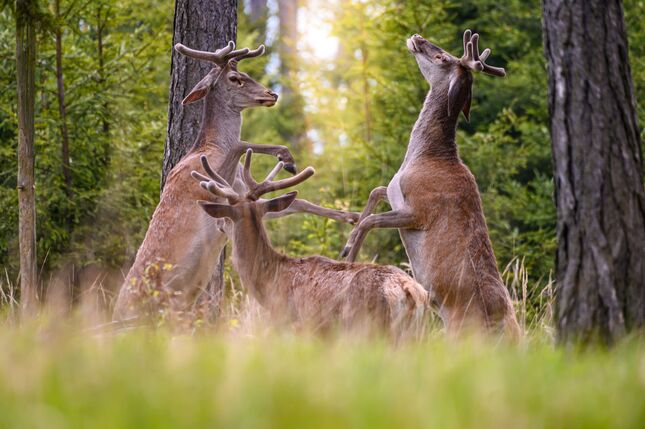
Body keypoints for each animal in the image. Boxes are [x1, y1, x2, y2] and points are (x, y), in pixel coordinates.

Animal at [114, 41, 358, 320]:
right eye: (235, 78)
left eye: (247, 73)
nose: (272, 94)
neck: (209, 148)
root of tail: (115, 310)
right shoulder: (204, 185)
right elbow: (240, 144)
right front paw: (286, 156)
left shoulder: (244, 195)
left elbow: (297, 203)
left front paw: (353, 218)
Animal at [191, 150, 428, 338]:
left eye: (227, 217)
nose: (218, 223)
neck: (271, 280)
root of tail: (409, 290)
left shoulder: (291, 323)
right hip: (414, 335)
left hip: (368, 328)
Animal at [340, 30, 520, 340]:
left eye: (442, 57)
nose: (417, 36)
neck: (426, 157)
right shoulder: (395, 193)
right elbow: (374, 193)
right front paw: (348, 234)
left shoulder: (420, 210)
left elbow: (370, 222)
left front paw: (348, 254)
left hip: (462, 326)